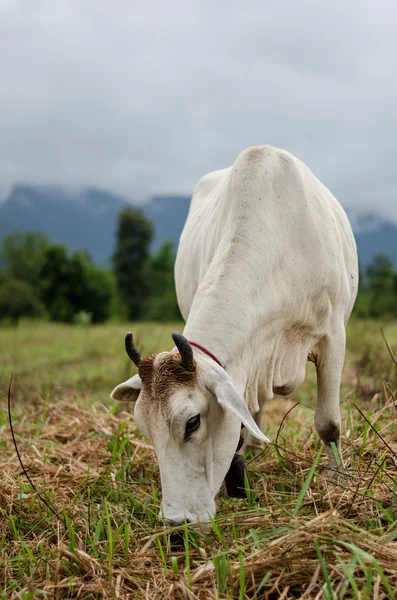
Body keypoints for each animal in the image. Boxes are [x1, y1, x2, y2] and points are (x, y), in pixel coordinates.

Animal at [110, 145, 358, 524]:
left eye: (192, 422)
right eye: (144, 427)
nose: (176, 522)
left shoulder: (333, 338)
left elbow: (328, 424)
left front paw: (339, 486)